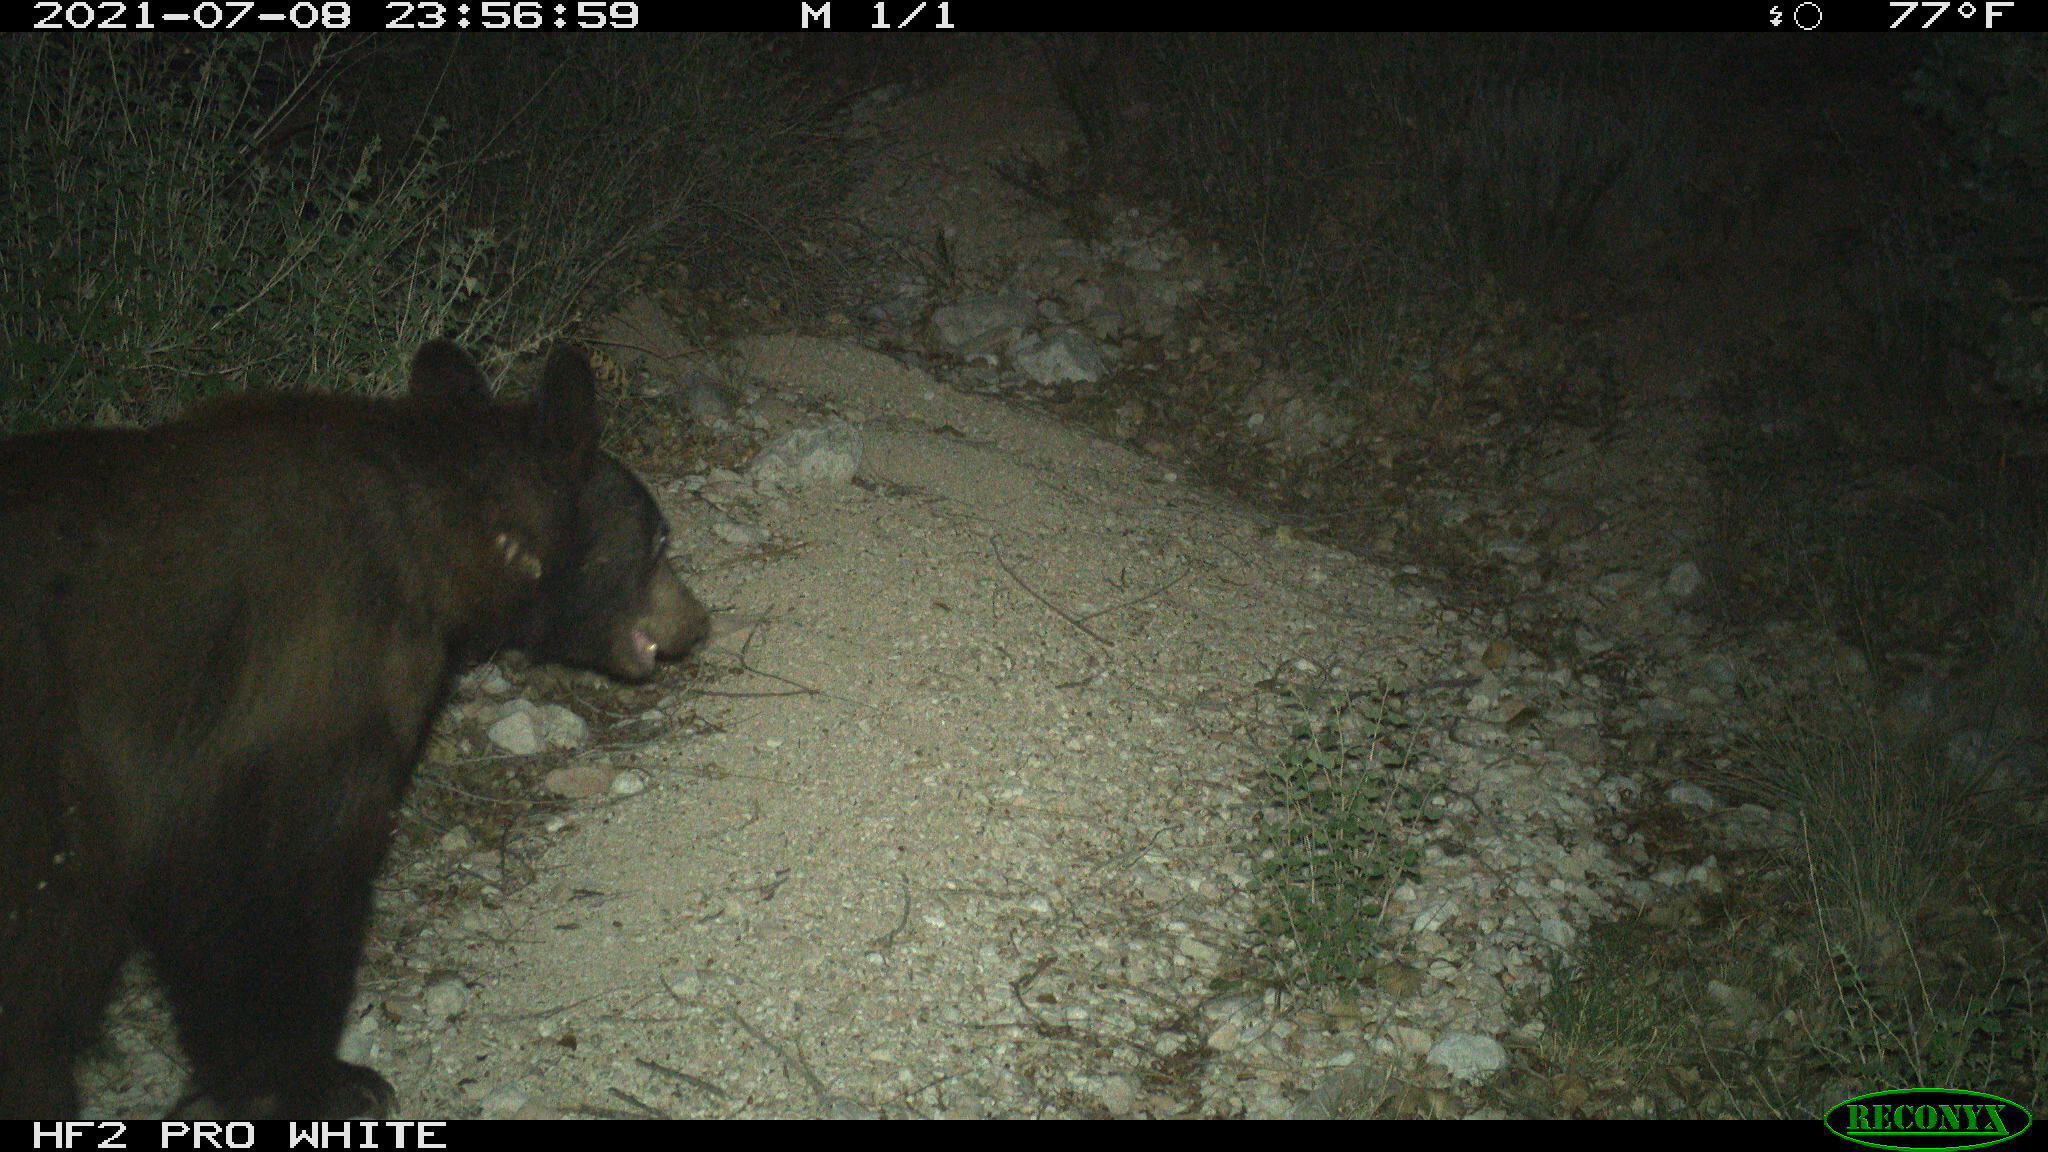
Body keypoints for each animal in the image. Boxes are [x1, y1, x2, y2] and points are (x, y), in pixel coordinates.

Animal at [0, 341, 709, 1119]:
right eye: (661, 536)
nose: (699, 621)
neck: (438, 539)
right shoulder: (313, 696)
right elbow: (287, 881)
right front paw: (318, 1079)